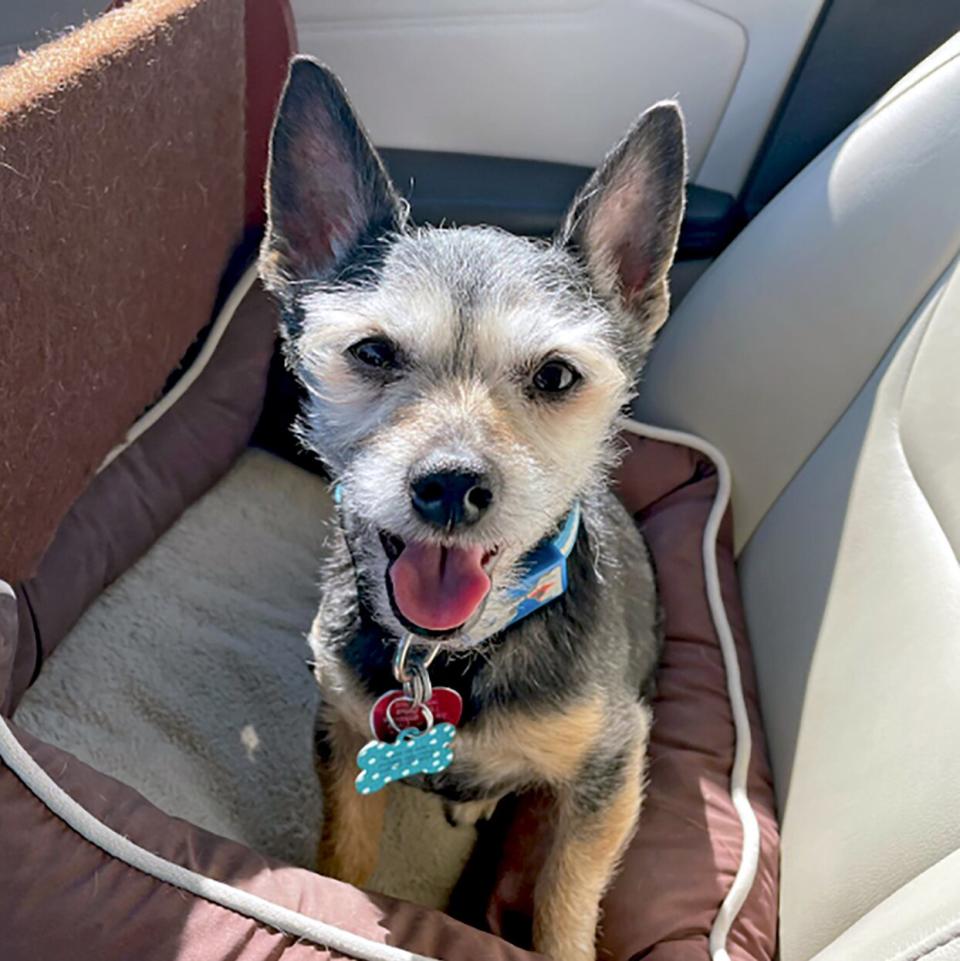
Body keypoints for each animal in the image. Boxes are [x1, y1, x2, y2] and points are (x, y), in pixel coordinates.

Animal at [258, 58, 688, 960]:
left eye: (557, 375)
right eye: (372, 351)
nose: (451, 483)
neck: (446, 661)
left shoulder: (610, 768)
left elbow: (567, 894)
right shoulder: (343, 732)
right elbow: (343, 856)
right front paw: (330, 903)